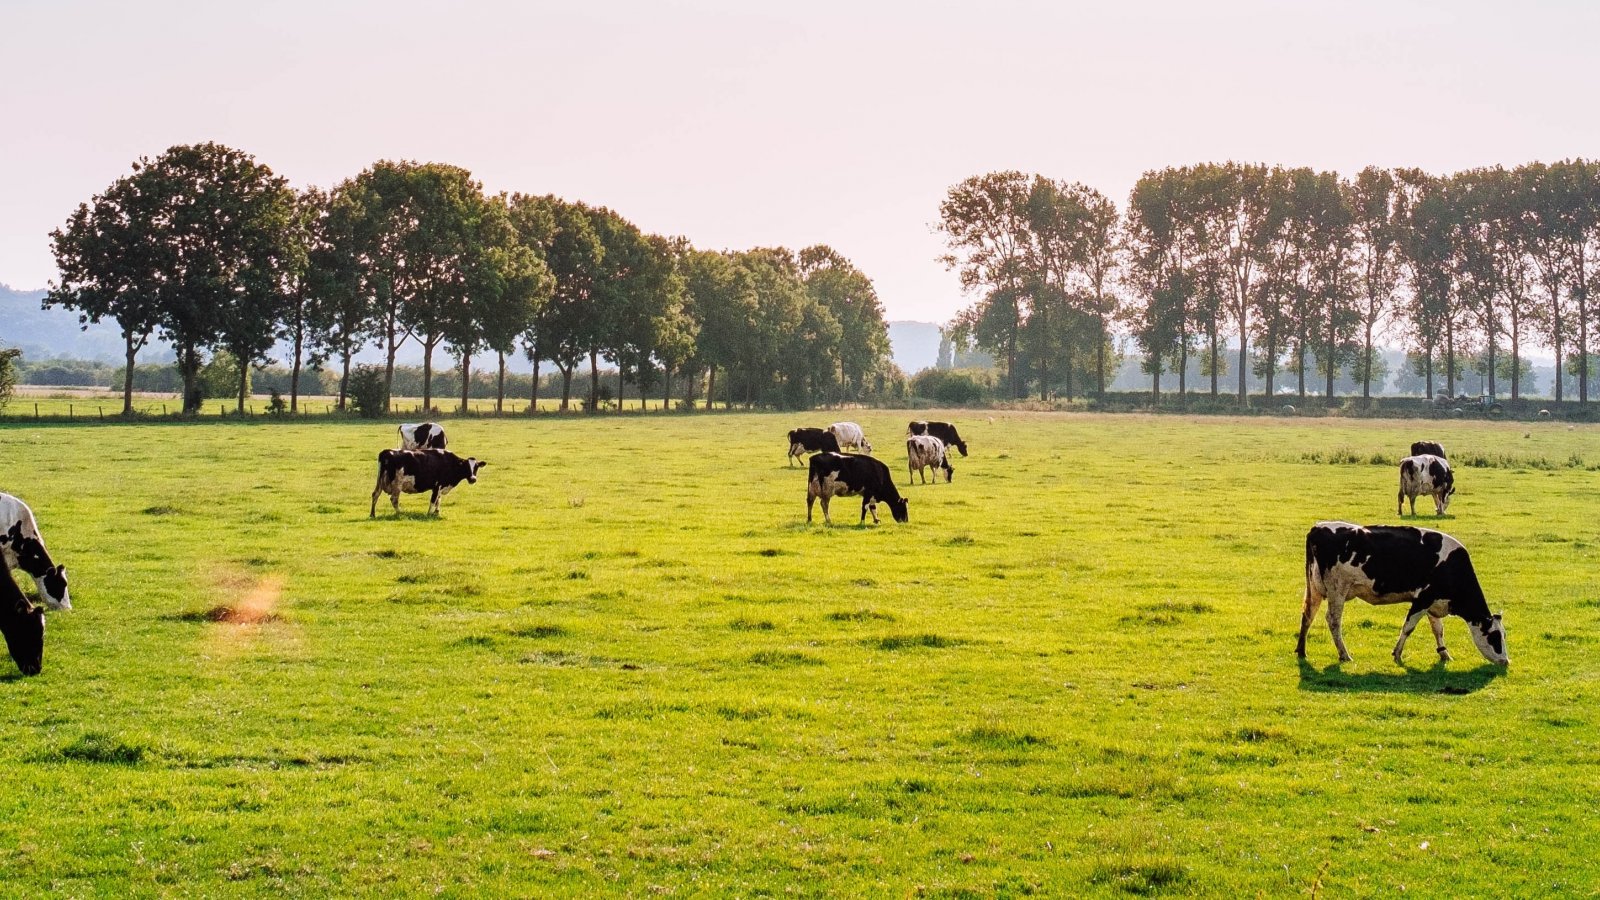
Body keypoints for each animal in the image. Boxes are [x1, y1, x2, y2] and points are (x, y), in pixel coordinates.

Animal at [1299, 518, 1510, 666]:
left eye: (1504, 635)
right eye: (1495, 637)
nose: (1506, 661)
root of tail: (1318, 528)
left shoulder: (1434, 602)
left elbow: (1438, 629)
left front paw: (1445, 654)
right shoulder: (1422, 599)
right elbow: (1408, 627)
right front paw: (1397, 654)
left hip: (1314, 588)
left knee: (1308, 614)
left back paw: (1301, 651)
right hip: (1337, 590)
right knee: (1333, 620)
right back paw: (1344, 655)